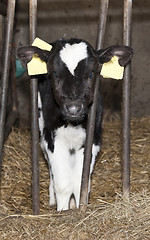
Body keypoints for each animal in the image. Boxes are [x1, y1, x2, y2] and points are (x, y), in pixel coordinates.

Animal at [17, 38, 132, 211]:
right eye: (54, 73)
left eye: (91, 73)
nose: (73, 108)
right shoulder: (52, 138)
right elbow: (63, 184)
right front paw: (63, 210)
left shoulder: (94, 138)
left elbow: (80, 183)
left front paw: (79, 208)